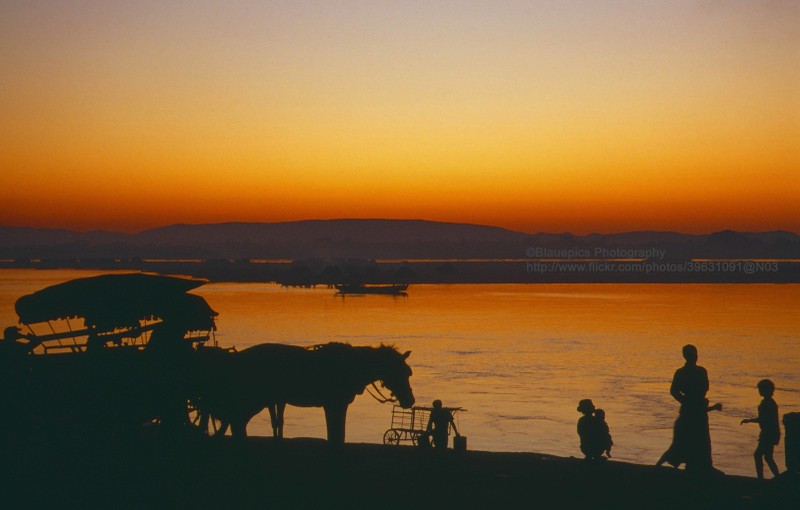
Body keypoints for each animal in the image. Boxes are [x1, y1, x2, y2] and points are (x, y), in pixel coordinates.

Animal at [192, 342, 412, 442]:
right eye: (402, 373)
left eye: (408, 373)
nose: (410, 400)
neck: (350, 366)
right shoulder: (334, 404)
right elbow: (336, 435)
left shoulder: (336, 405)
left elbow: (337, 434)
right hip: (251, 400)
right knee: (234, 422)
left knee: (234, 422)